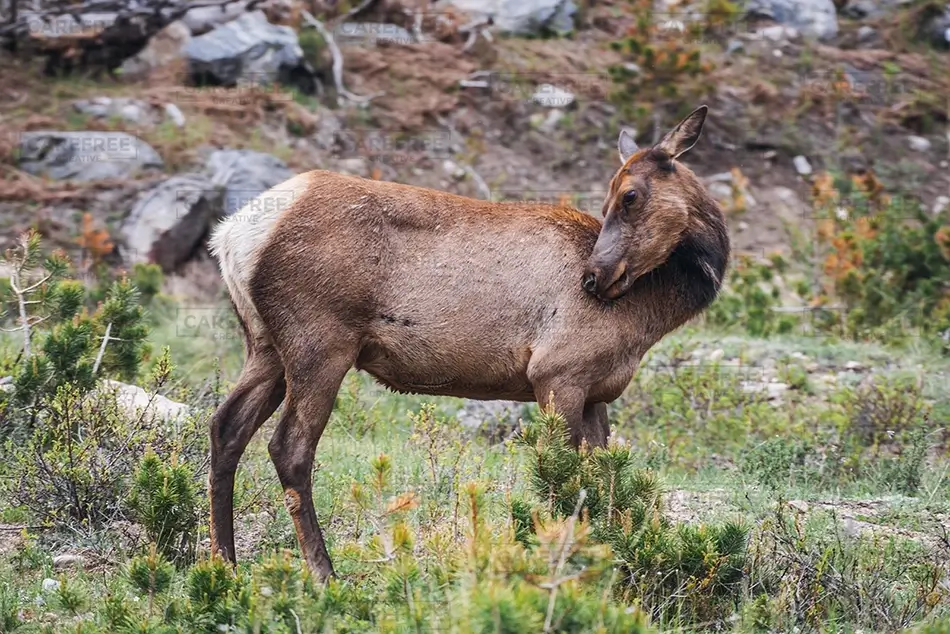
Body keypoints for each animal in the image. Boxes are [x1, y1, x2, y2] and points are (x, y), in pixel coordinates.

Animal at [207, 105, 729, 581]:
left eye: (629, 195)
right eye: (613, 200)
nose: (594, 278)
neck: (647, 317)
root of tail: (231, 235)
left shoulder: (597, 391)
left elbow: (603, 481)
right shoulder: (558, 372)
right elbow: (562, 479)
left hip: (265, 345)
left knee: (226, 426)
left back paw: (224, 564)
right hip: (320, 342)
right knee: (289, 447)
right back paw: (323, 574)